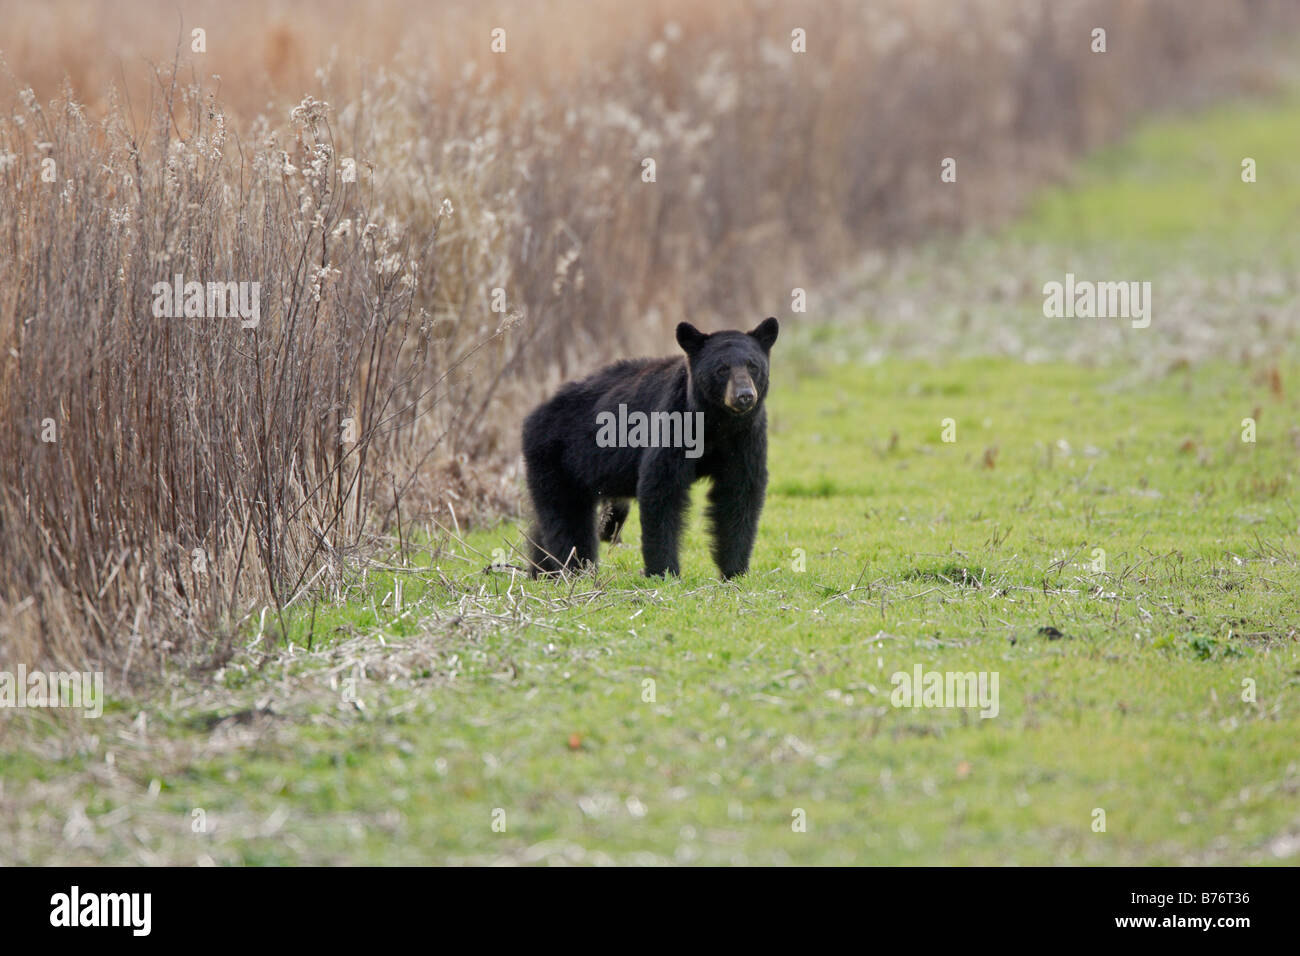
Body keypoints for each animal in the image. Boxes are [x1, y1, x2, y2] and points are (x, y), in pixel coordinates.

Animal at [522, 317, 779, 579]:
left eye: (753, 366)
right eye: (722, 369)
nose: (744, 395)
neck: (717, 424)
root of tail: (533, 416)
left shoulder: (746, 437)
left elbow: (738, 493)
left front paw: (735, 571)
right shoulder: (674, 421)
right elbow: (662, 489)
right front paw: (663, 571)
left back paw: (542, 571)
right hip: (558, 458)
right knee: (567, 516)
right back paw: (575, 570)